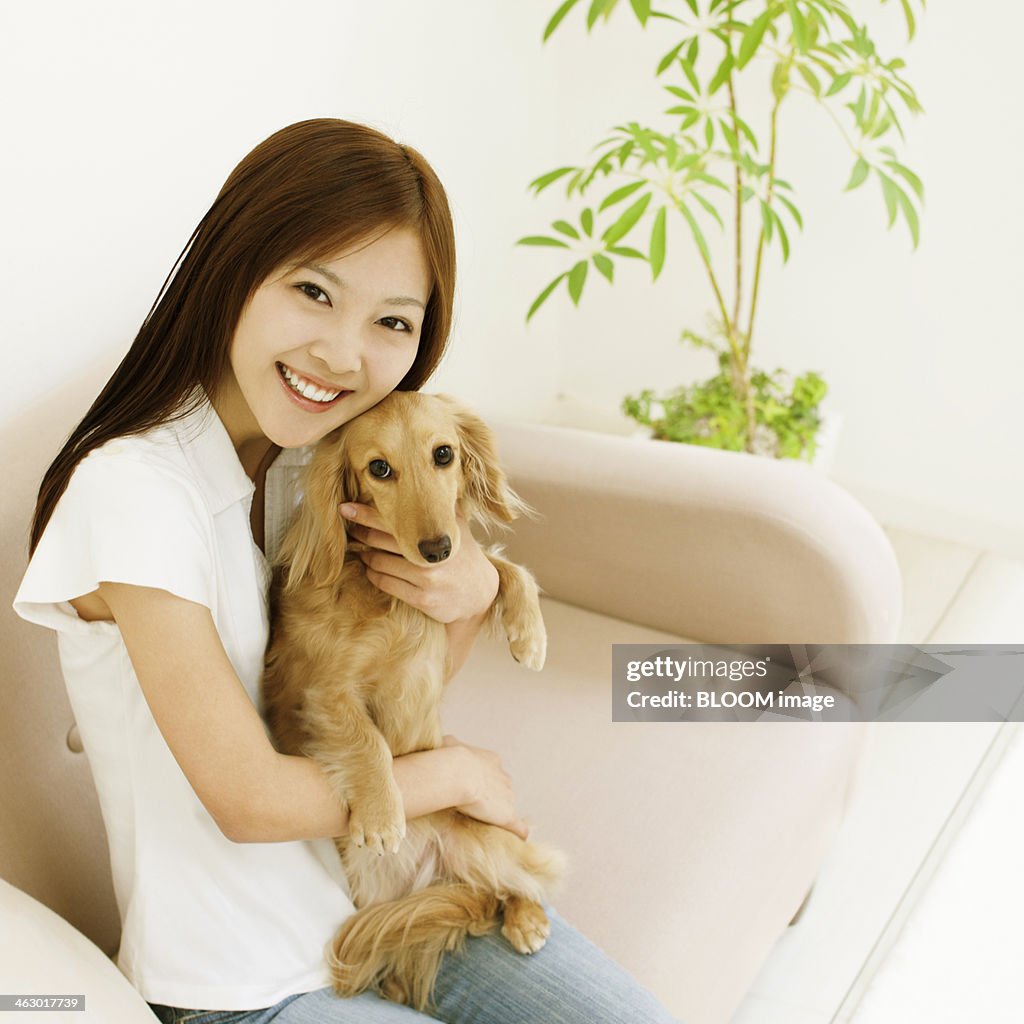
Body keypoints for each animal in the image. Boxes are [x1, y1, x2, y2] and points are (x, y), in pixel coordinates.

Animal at [262, 389, 569, 1007]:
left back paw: (527, 918)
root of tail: (434, 876)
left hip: (488, 842)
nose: (438, 549)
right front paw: (383, 813)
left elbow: (502, 568)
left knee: (522, 880)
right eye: (379, 468)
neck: (390, 599)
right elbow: (368, 741)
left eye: (444, 454)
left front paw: (530, 634)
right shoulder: (324, 692)